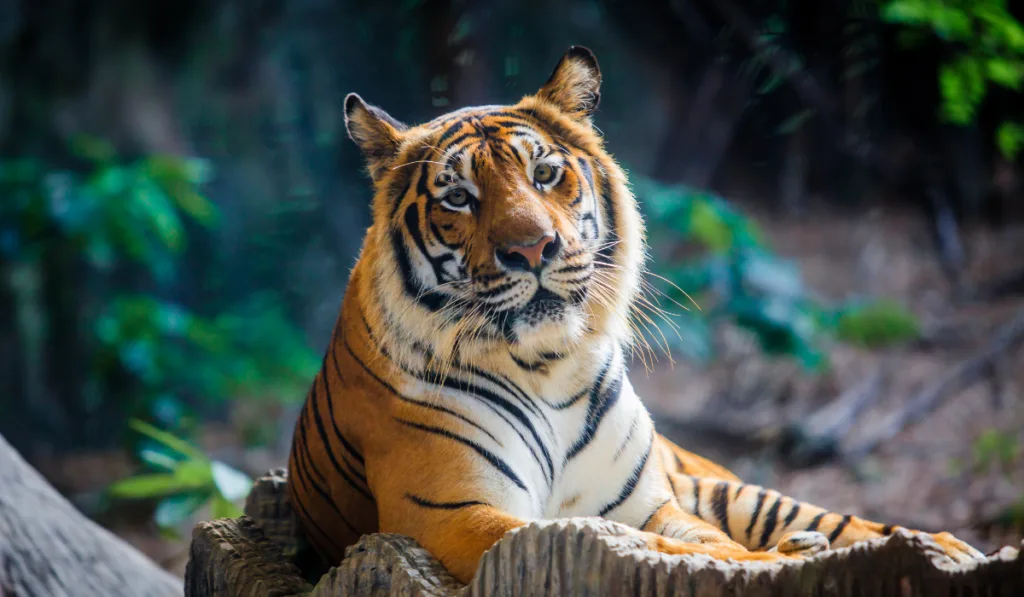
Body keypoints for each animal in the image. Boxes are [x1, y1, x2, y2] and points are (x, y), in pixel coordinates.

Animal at [286, 45, 983, 585]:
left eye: (545, 174)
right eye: (459, 197)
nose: (532, 250)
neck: (547, 368)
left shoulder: (648, 501)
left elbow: (700, 542)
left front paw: (776, 556)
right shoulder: (455, 513)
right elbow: (681, 550)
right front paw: (773, 564)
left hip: (719, 482)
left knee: (827, 517)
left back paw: (945, 547)